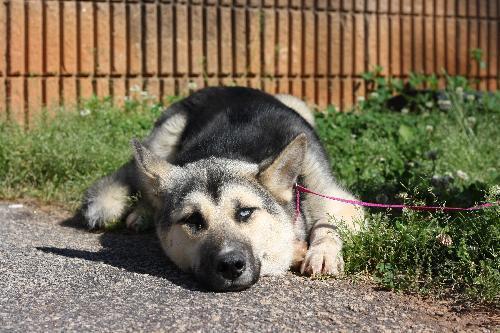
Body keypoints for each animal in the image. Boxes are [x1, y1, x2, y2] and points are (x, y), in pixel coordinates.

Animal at [82, 87, 364, 290]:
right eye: (193, 220)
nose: (230, 266)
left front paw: (322, 251)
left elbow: (326, 223)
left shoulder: (337, 199)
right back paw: (143, 213)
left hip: (299, 104)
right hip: (163, 138)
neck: (229, 149)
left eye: (245, 212)